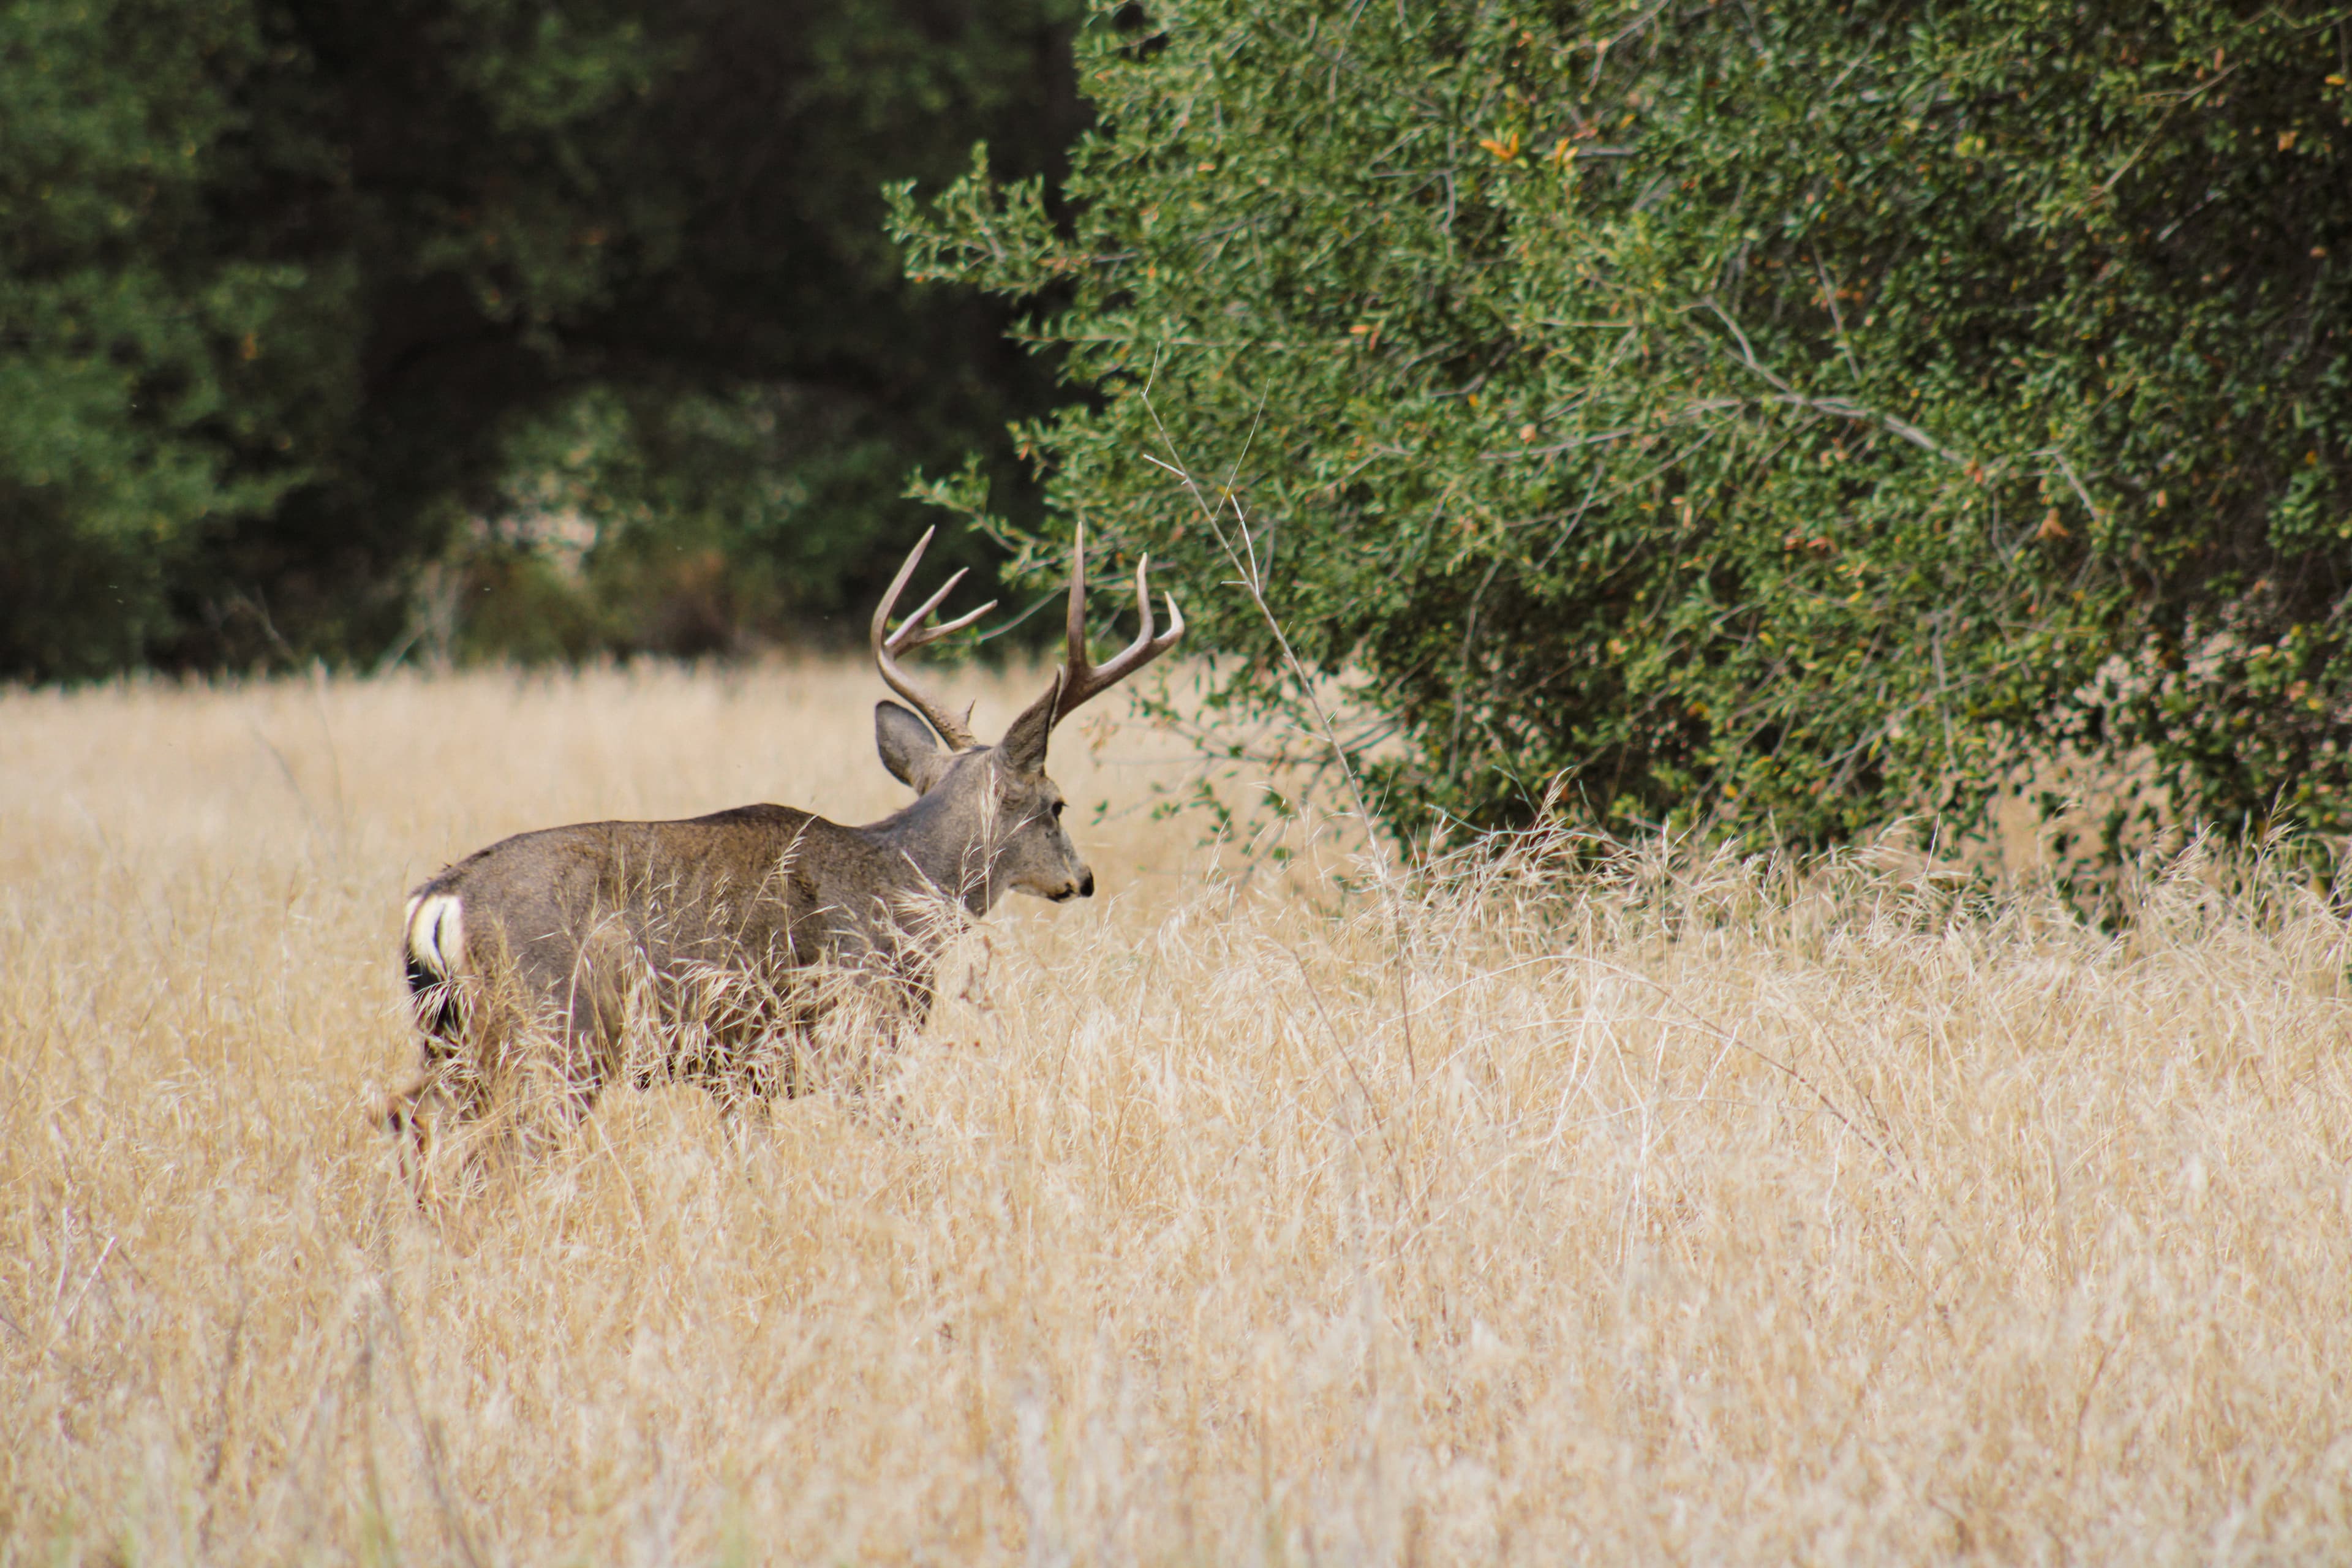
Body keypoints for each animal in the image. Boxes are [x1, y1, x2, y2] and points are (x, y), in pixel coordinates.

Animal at [386, 525, 1181, 1172]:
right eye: (1057, 804)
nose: (1083, 877)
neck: (902, 886)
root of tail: (441, 900)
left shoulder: (738, 1074)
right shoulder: (860, 1037)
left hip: (455, 1036)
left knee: (409, 1119)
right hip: (556, 1030)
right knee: (487, 1151)